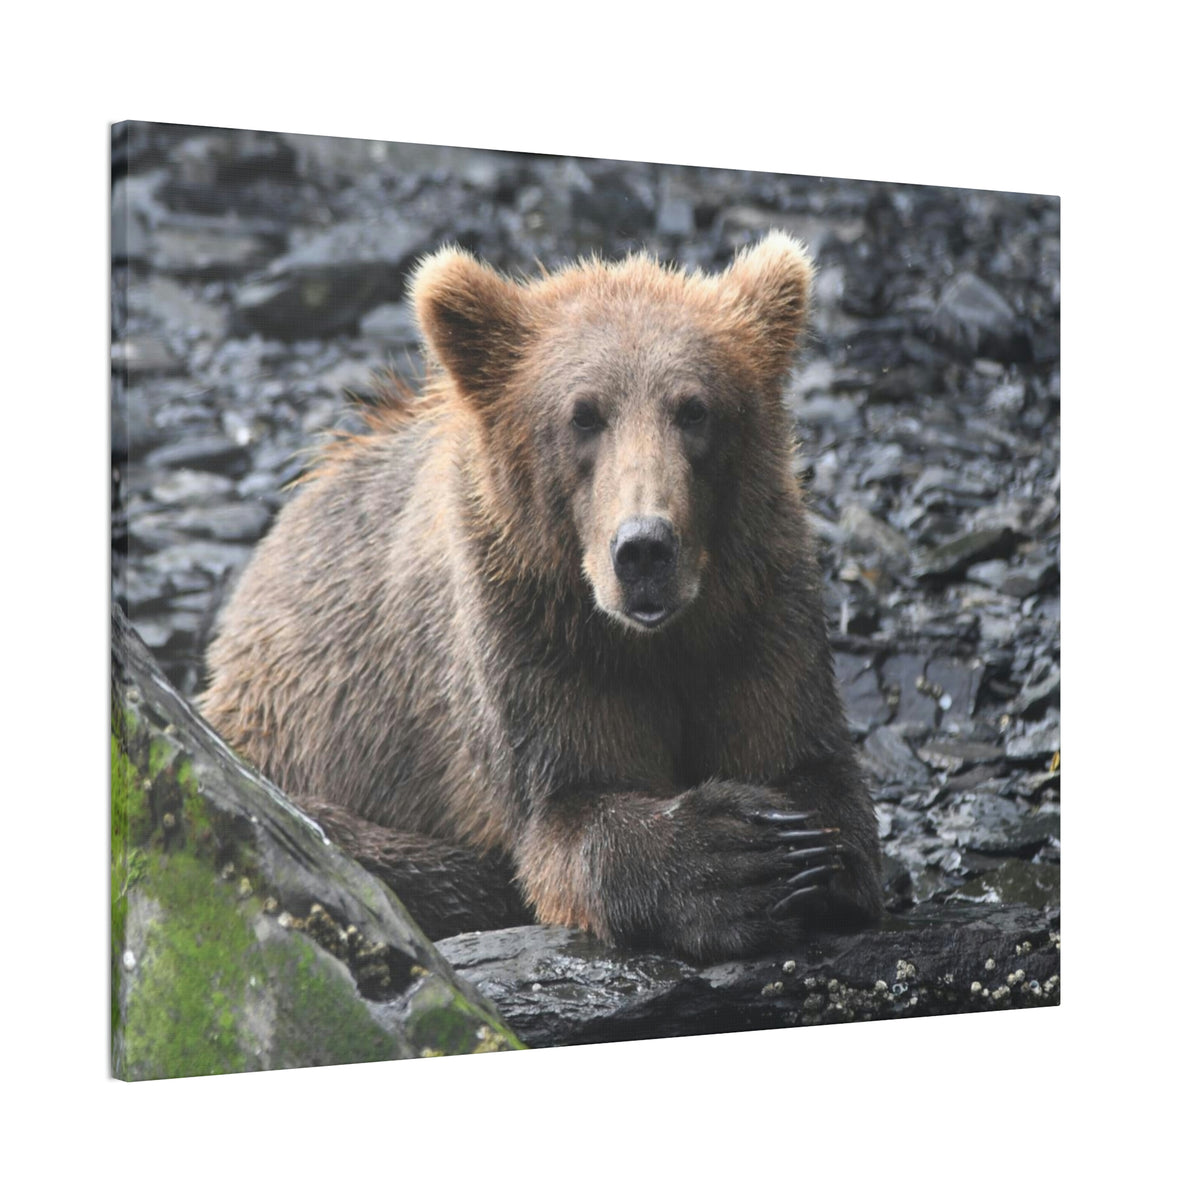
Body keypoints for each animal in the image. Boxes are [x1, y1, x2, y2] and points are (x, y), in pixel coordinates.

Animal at [200, 232, 884, 962]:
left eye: (694, 409)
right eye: (583, 415)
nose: (644, 548)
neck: (652, 639)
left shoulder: (757, 608)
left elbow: (807, 762)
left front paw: (804, 852)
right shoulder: (528, 632)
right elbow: (569, 809)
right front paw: (734, 859)